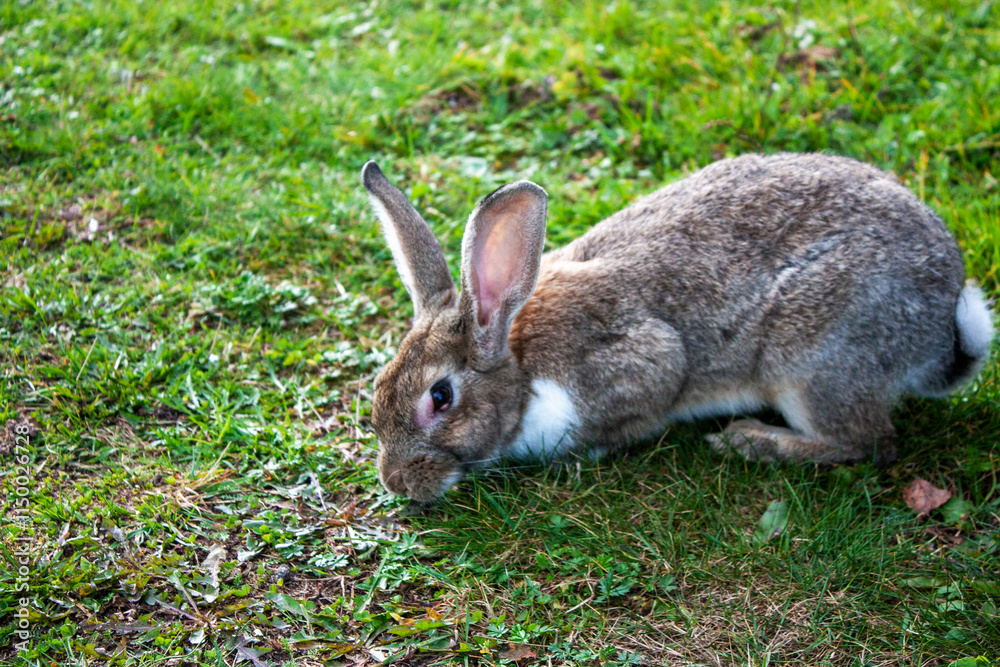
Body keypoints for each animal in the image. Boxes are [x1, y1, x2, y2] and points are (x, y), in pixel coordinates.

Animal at [361, 153, 994, 501]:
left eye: (440, 398)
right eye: (378, 389)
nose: (397, 483)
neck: (518, 361)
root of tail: (941, 328)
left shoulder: (644, 362)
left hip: (813, 364)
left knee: (869, 443)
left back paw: (751, 441)